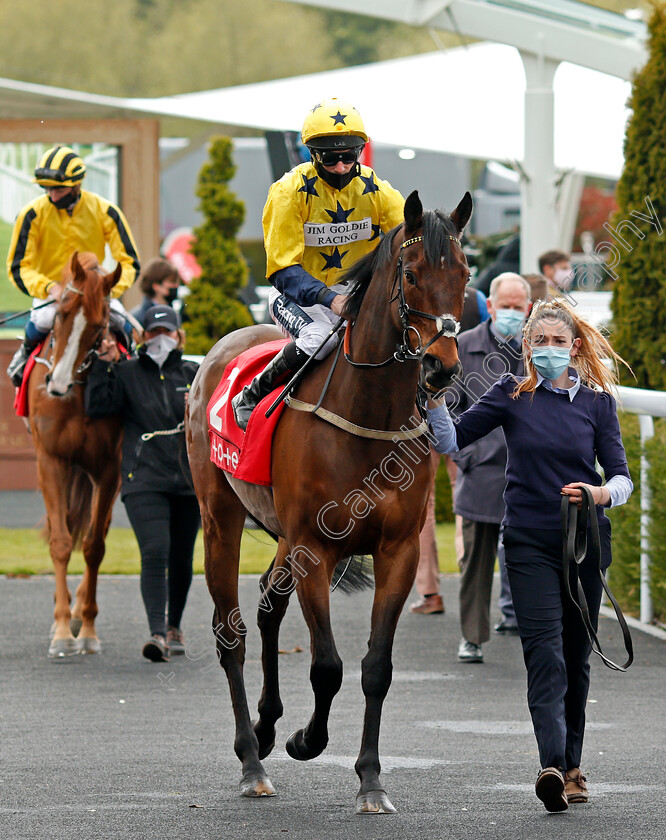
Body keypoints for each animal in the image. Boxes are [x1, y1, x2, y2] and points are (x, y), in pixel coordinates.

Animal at [184, 192, 470, 812]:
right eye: (412, 275)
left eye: (464, 274)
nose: (441, 367)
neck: (367, 414)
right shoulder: (314, 548)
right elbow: (327, 668)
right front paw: (305, 740)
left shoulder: (398, 551)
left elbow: (376, 668)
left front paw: (370, 779)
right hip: (220, 518)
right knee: (231, 633)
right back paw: (251, 760)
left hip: (281, 535)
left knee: (268, 605)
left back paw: (266, 727)